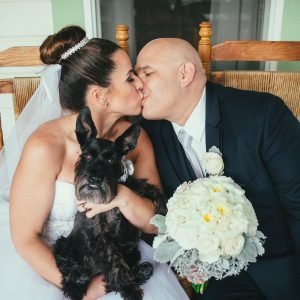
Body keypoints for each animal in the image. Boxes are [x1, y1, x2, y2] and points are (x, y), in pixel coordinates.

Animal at [54, 106, 166, 298]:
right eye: (86, 156)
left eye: (110, 159)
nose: (94, 179)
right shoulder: (99, 235)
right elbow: (115, 262)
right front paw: (130, 290)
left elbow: (139, 185)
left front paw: (160, 204)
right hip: (62, 244)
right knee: (68, 275)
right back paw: (79, 279)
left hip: (132, 250)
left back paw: (143, 270)